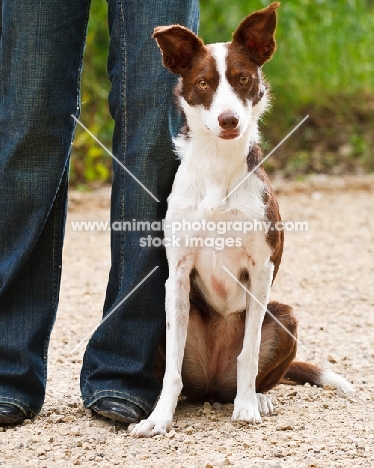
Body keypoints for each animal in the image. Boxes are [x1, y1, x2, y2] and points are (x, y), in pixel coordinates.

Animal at [131, 2, 354, 438]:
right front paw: (159, 418)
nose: (229, 120)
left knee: (255, 370)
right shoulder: (177, 274)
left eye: (243, 79)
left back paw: (257, 397)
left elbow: (248, 353)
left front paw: (248, 407)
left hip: (283, 316)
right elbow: (171, 372)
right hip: (167, 320)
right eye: (203, 84)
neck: (219, 167)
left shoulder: (260, 269)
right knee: (184, 376)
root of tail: (214, 389)